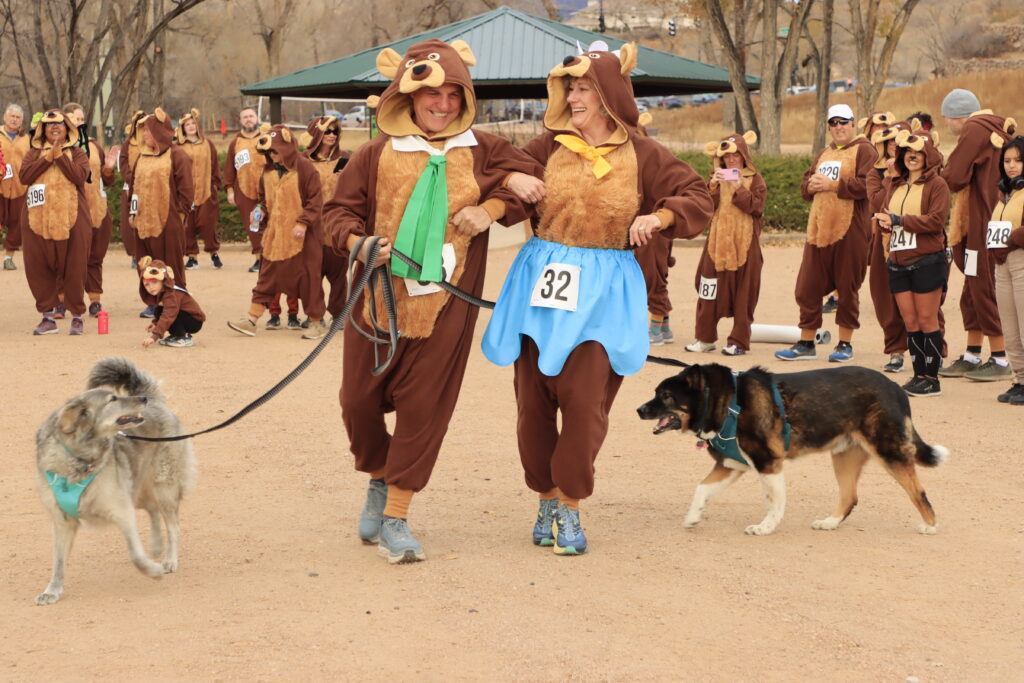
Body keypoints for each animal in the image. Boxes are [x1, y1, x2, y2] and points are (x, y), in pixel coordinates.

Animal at [634, 366, 946, 536]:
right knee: (850, 497)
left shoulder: (768, 462)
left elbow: (775, 501)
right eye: (657, 393)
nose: (639, 410)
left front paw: (765, 528)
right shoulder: (732, 465)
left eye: (665, 396)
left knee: (918, 492)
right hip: (844, 455)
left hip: (888, 451)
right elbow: (701, 489)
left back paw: (931, 525)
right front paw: (693, 517)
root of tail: (894, 387)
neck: (727, 401)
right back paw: (829, 523)